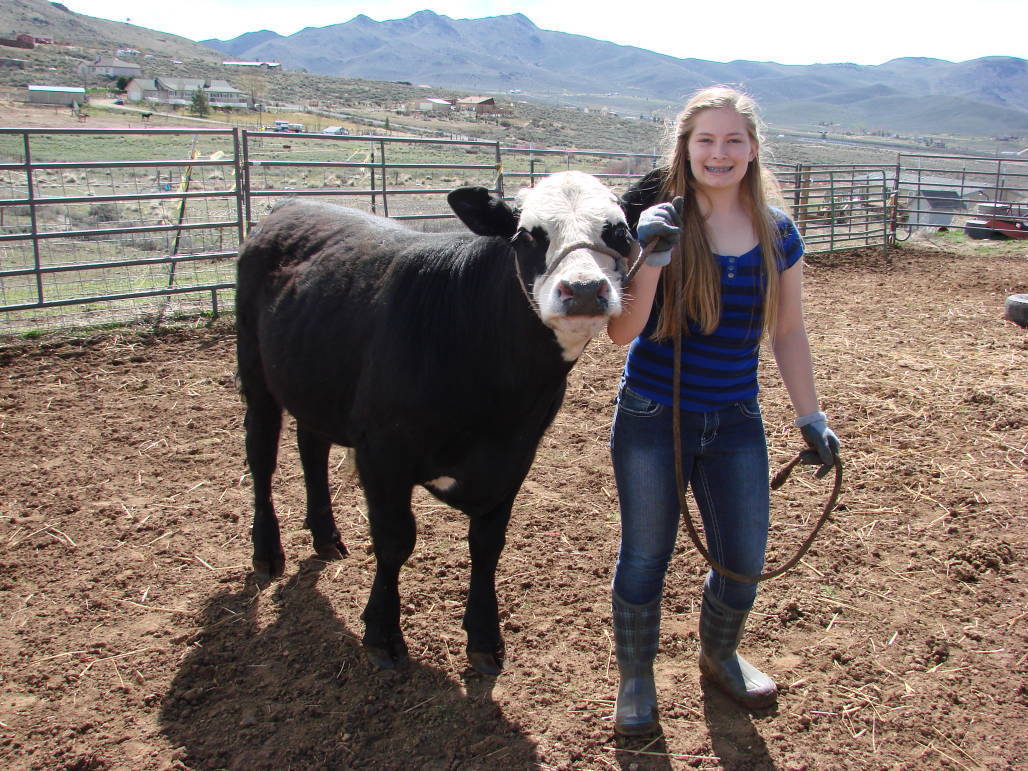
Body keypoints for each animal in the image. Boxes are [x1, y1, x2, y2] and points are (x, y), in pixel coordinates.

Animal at [235, 170, 634, 674]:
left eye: (619, 231)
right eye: (527, 236)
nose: (582, 289)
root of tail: (288, 208)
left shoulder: (514, 456)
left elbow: (487, 544)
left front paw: (484, 637)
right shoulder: (382, 453)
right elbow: (394, 540)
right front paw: (382, 633)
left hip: (314, 379)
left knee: (312, 448)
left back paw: (326, 537)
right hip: (256, 375)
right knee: (262, 457)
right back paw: (267, 553)